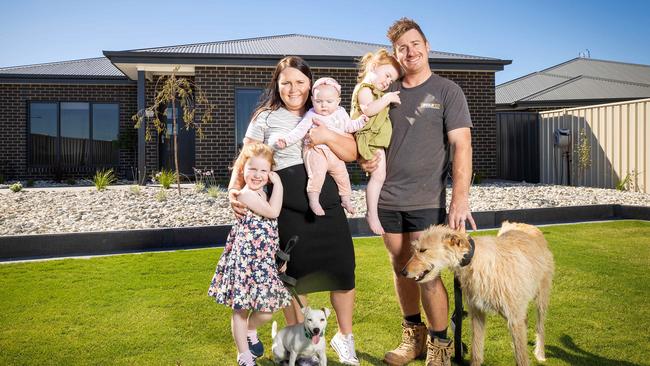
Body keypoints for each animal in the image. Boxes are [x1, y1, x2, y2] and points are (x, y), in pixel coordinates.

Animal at [402, 222, 556, 364]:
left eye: (423, 250)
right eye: (416, 249)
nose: (403, 272)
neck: (474, 260)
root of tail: (526, 225)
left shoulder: (514, 317)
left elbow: (521, 357)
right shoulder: (477, 313)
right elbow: (476, 350)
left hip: (541, 299)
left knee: (540, 326)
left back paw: (540, 353)